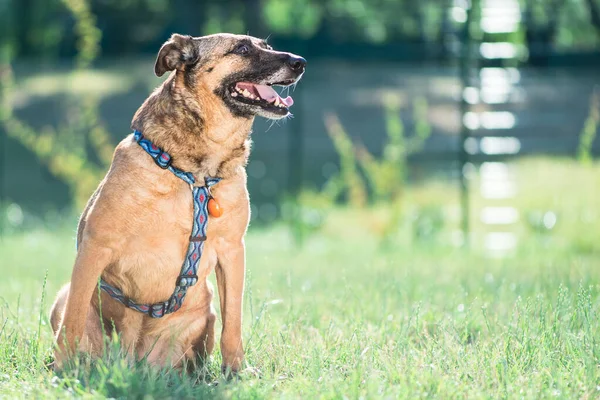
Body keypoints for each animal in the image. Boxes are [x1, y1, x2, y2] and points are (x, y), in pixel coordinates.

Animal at [49, 32, 308, 374]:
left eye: (266, 46)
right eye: (242, 48)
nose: (301, 62)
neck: (195, 174)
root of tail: (134, 359)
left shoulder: (232, 251)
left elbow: (234, 324)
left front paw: (236, 371)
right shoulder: (96, 245)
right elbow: (73, 320)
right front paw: (65, 370)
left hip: (203, 316)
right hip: (63, 296)